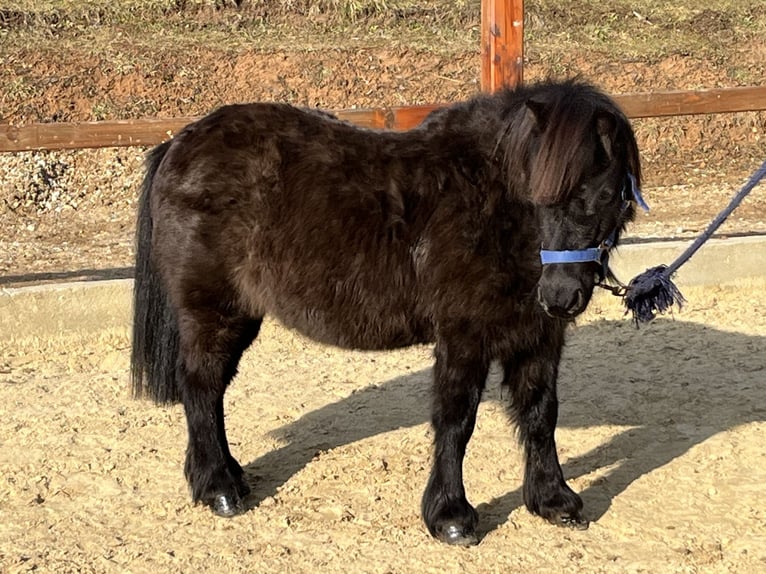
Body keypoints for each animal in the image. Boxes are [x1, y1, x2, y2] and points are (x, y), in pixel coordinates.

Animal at [130, 79, 640, 548]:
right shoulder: (464, 336)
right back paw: (218, 488)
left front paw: (554, 500)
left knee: (211, 392)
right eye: (538, 193)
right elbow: (457, 420)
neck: (490, 206)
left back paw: (227, 477)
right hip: (213, 311)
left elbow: (540, 414)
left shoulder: (538, 335)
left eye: (608, 194)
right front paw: (450, 517)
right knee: (201, 385)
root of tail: (178, 143)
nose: (561, 295)